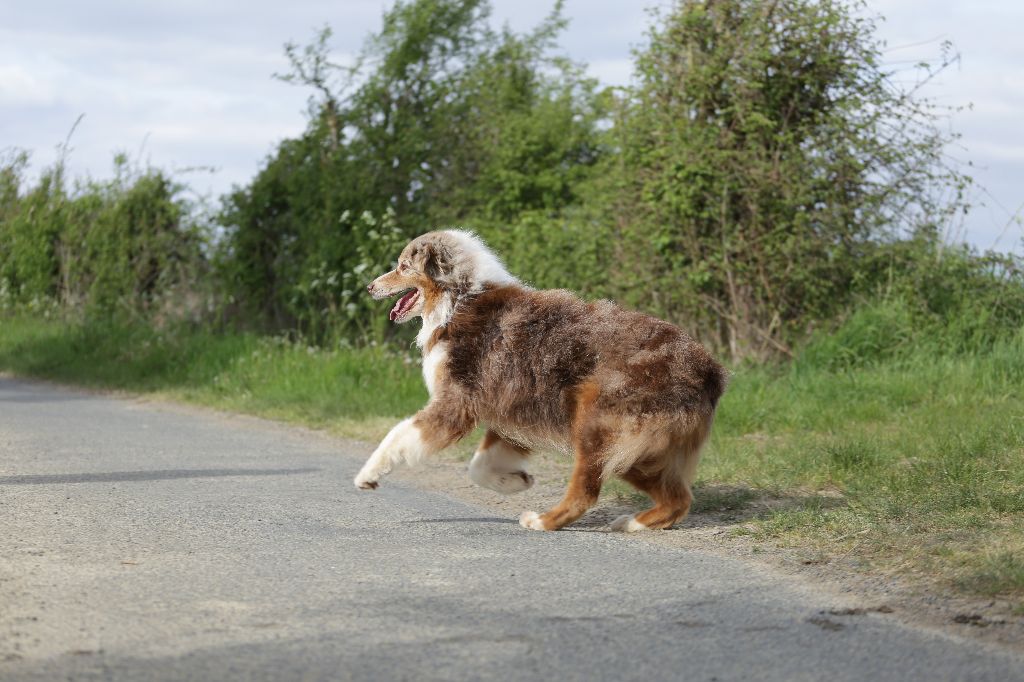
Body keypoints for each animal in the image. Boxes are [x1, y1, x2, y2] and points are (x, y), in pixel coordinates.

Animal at [356, 228, 724, 532]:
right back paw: (632, 523)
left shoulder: (456, 404)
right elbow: (478, 466)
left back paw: (543, 521)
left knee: (586, 493)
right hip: (640, 449)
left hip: (600, 427)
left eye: (403, 266)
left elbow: (399, 434)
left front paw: (368, 474)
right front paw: (516, 482)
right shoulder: (513, 408)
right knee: (678, 499)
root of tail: (709, 369)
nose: (369, 287)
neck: (459, 298)